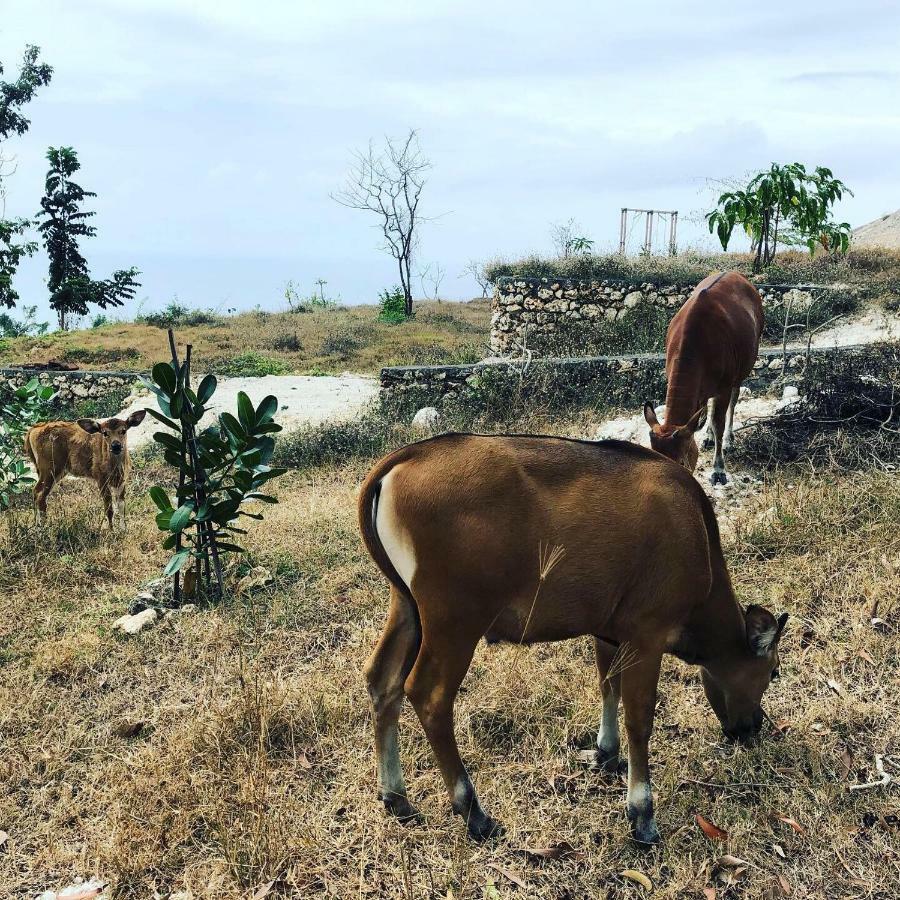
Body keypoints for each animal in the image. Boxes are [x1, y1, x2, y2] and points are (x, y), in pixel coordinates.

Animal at [358, 434, 788, 844]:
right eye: (773, 672)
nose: (753, 727)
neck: (696, 532)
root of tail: (406, 458)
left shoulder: (610, 634)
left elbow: (608, 686)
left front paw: (606, 753)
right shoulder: (647, 637)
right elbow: (639, 718)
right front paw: (642, 814)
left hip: (407, 607)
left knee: (383, 680)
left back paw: (395, 796)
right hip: (454, 622)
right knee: (429, 696)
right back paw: (473, 812)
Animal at [644, 270, 764, 486]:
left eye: (681, 462)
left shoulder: (724, 386)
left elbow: (718, 422)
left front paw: (718, 470)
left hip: (742, 369)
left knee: (733, 401)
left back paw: (728, 440)